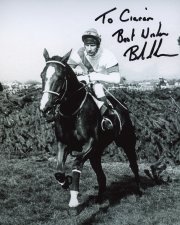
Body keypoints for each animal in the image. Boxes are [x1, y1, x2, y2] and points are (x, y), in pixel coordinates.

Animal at [39, 48, 142, 208]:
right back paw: (99, 199)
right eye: (42, 75)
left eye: (60, 77)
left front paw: (74, 196)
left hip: (127, 143)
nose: (45, 108)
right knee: (101, 176)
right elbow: (59, 171)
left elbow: (76, 162)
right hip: (96, 154)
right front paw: (65, 182)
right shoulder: (63, 143)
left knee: (134, 165)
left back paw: (139, 191)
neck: (72, 112)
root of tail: (123, 108)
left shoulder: (90, 144)